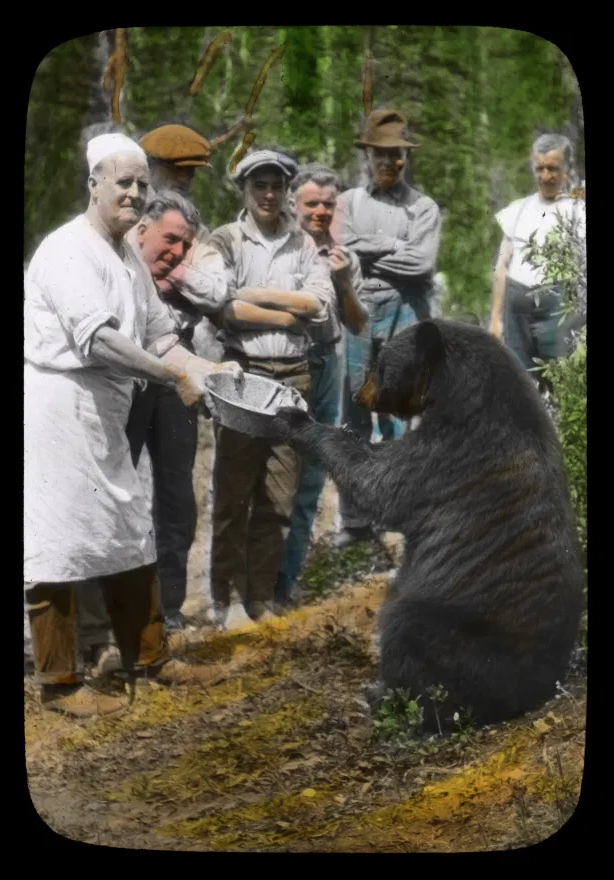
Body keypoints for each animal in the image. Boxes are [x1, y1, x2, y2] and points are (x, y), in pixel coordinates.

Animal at [276, 320, 588, 732]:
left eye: (380, 364)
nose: (358, 395)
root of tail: (543, 686)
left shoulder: (450, 450)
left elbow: (379, 481)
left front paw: (296, 420)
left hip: (461, 635)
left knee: (405, 626)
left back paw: (394, 701)